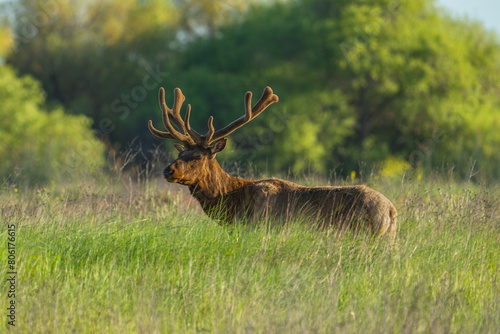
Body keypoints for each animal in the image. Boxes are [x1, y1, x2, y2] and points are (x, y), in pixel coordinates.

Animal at [148, 86, 398, 237]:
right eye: (180, 154)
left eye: (198, 156)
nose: (168, 171)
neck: (232, 205)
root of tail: (391, 211)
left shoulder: (260, 226)